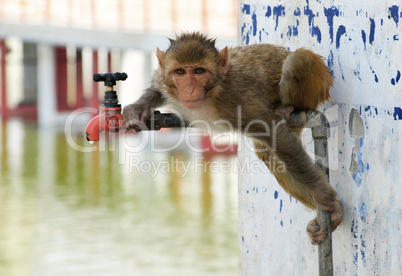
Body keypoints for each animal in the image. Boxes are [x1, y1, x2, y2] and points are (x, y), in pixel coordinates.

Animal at [123, 31, 342, 245]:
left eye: (199, 71)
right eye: (180, 72)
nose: (189, 89)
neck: (212, 94)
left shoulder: (239, 102)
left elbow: (278, 137)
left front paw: (322, 191)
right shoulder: (164, 81)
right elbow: (156, 84)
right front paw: (138, 107)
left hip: (318, 85)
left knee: (297, 60)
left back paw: (287, 108)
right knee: (269, 155)